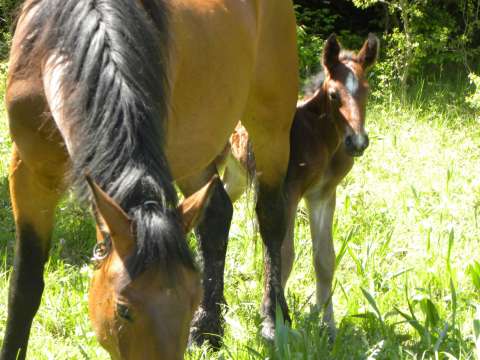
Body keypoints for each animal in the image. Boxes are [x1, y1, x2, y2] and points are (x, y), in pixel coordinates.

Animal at [220, 33, 378, 334]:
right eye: (334, 95)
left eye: (367, 91)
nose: (357, 142)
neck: (319, 137)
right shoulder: (288, 192)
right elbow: (285, 253)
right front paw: (274, 319)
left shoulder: (323, 195)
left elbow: (325, 258)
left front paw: (328, 325)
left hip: (237, 175)